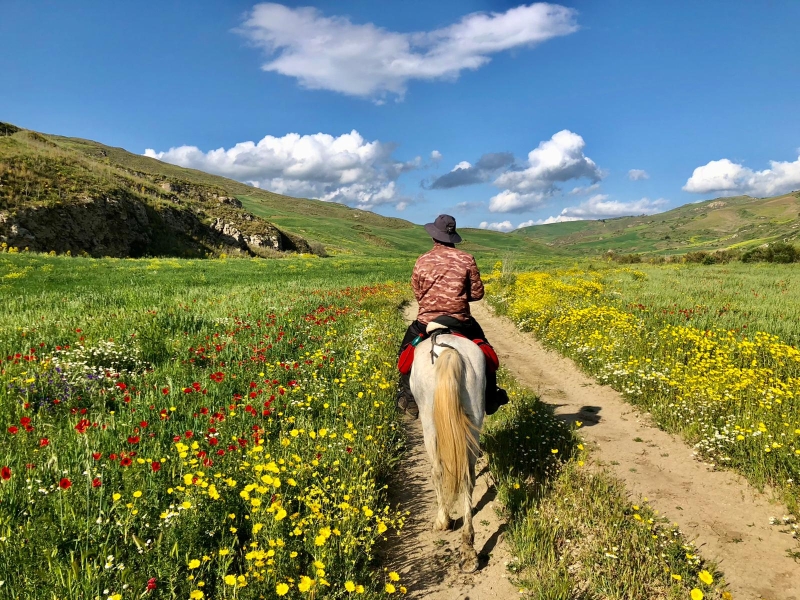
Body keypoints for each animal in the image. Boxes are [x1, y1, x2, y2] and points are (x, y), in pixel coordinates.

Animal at [410, 324, 484, 572]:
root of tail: (448, 351)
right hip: (474, 419)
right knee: (468, 477)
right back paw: (469, 548)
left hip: (429, 427)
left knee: (438, 472)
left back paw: (443, 521)